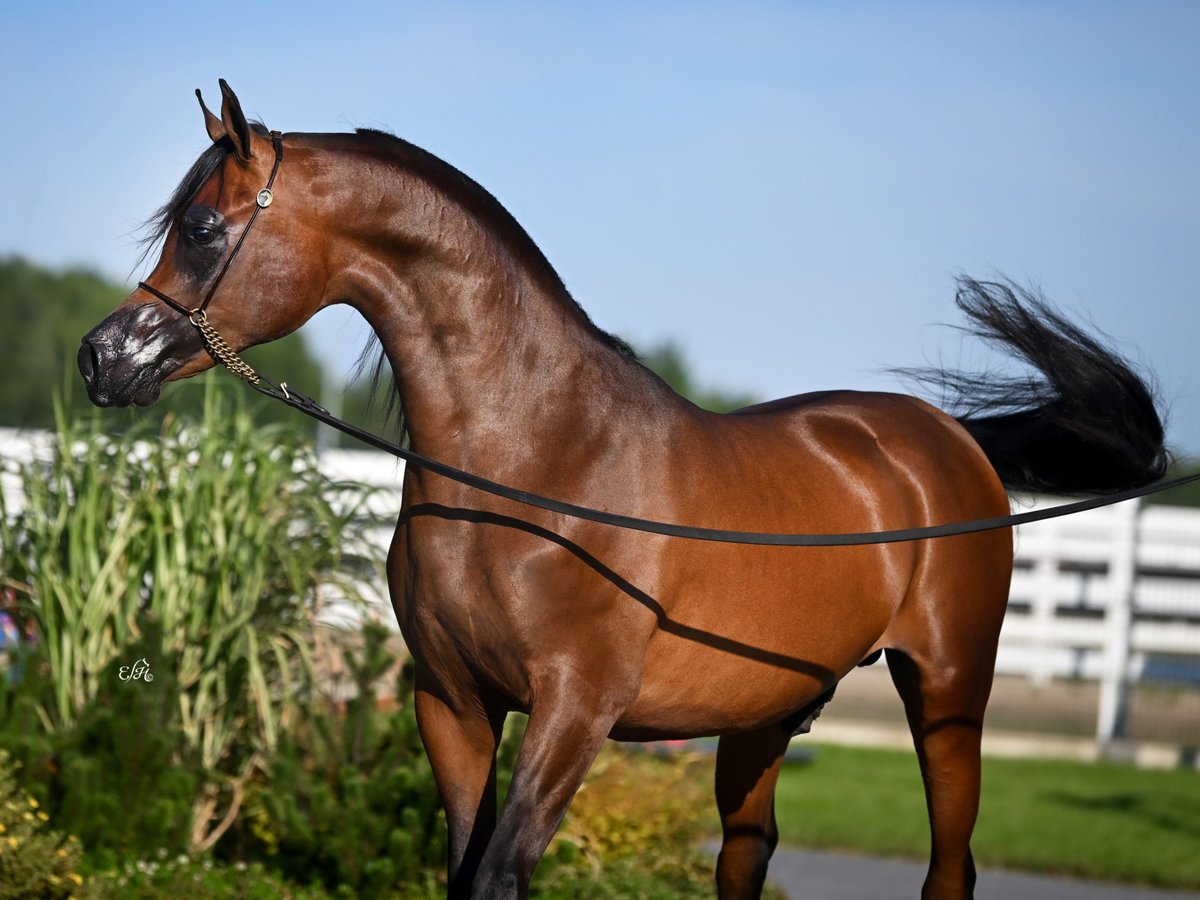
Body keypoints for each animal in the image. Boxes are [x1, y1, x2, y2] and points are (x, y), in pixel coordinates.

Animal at [77, 81, 1161, 897]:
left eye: (202, 226)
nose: (102, 360)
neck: (536, 463)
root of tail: (947, 439)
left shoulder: (575, 710)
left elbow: (500, 875)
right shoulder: (453, 702)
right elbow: (461, 872)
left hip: (948, 691)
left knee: (949, 868)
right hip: (765, 716)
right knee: (744, 857)